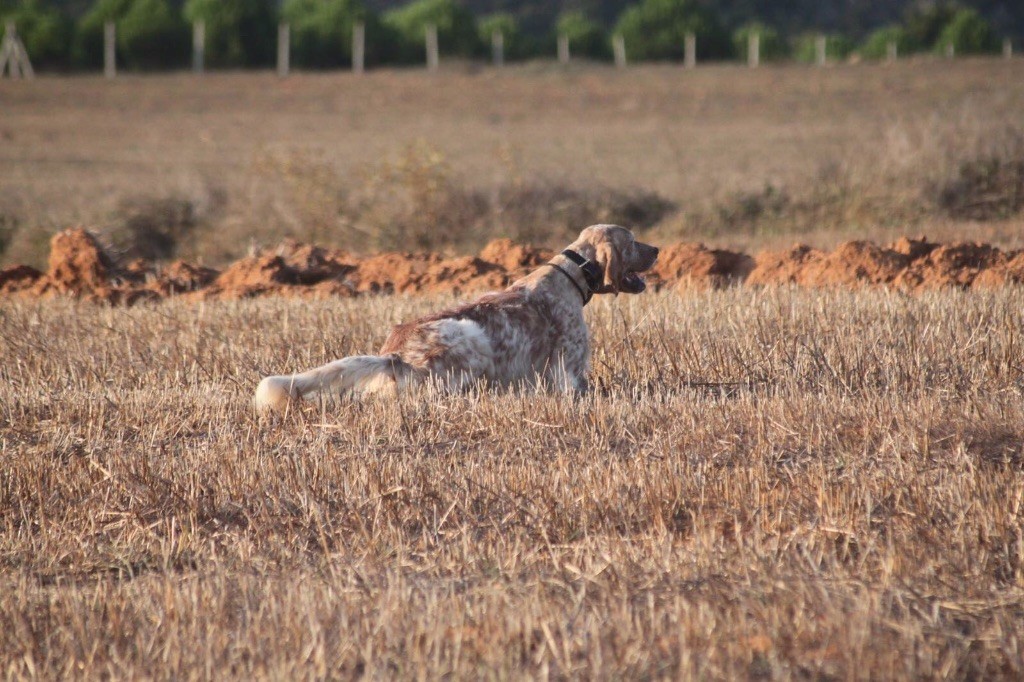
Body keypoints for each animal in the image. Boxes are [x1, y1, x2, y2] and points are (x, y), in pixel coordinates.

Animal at [254, 224, 659, 411]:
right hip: (471, 338)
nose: (657, 249)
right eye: (632, 241)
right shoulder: (570, 375)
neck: (571, 276)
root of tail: (394, 356)